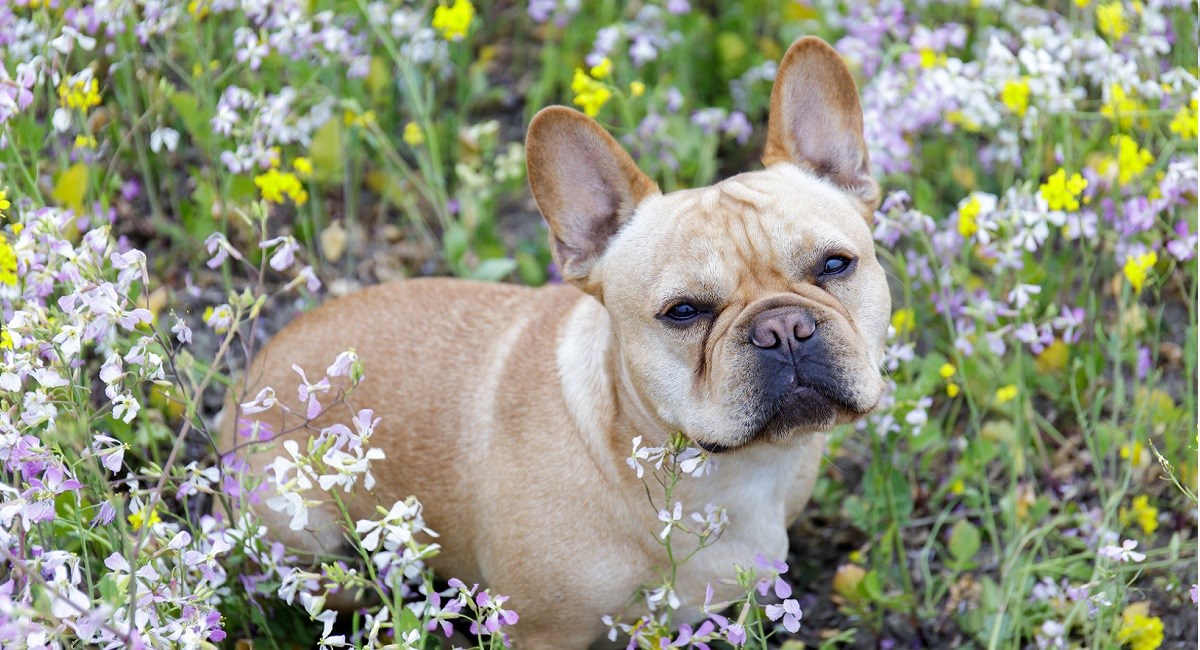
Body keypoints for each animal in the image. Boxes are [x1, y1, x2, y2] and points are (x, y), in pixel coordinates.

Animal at [226, 36, 892, 650]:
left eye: (835, 265)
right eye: (683, 312)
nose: (783, 328)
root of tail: (245, 387)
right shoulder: (543, 631)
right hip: (306, 539)